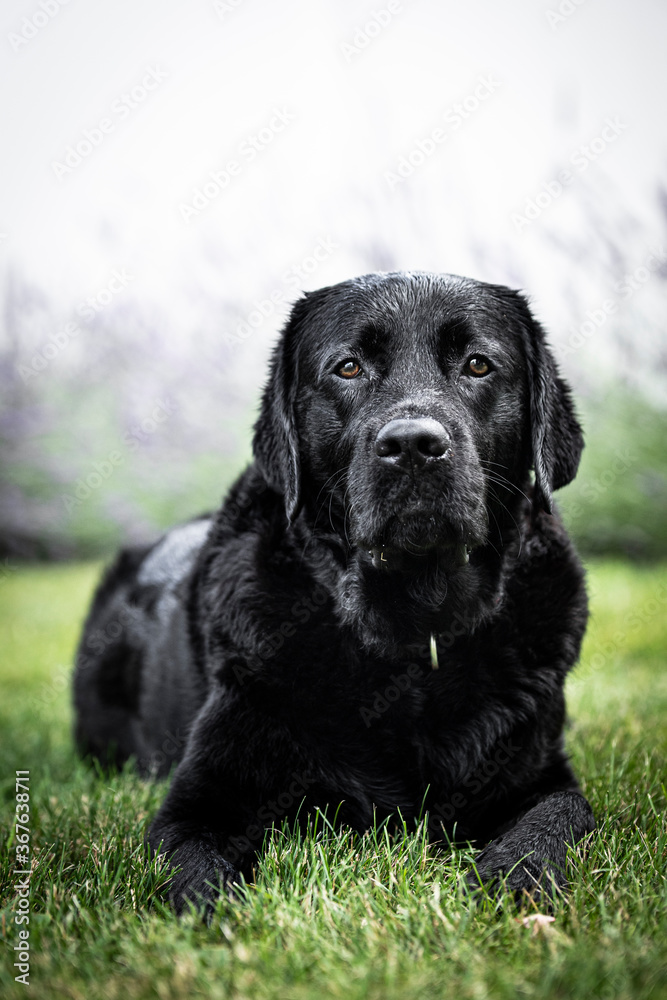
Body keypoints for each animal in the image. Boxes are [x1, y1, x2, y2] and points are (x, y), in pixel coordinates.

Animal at [73, 270, 596, 912]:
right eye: (348, 367)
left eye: (478, 364)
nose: (413, 445)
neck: (411, 624)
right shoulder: (201, 798)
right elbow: (195, 871)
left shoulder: (541, 774)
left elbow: (561, 814)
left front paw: (515, 878)